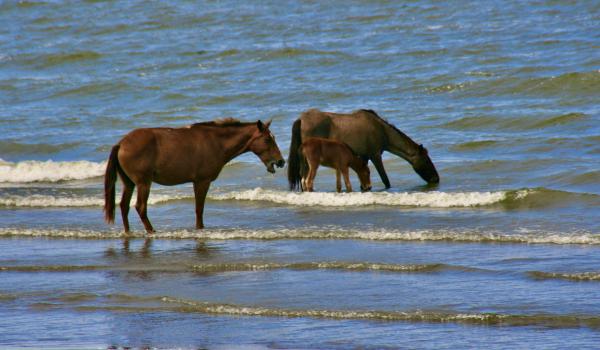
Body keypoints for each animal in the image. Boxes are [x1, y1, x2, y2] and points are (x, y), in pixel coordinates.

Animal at [104, 119, 284, 234]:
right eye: (267, 139)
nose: (281, 161)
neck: (216, 142)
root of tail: (121, 143)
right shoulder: (202, 182)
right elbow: (199, 209)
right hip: (143, 183)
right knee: (140, 207)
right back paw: (151, 231)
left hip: (129, 183)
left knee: (124, 206)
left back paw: (128, 232)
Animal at [288, 109, 438, 191]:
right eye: (426, 160)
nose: (436, 179)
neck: (382, 130)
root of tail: (301, 119)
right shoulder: (375, 156)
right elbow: (385, 179)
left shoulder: (363, 157)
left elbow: (363, 176)